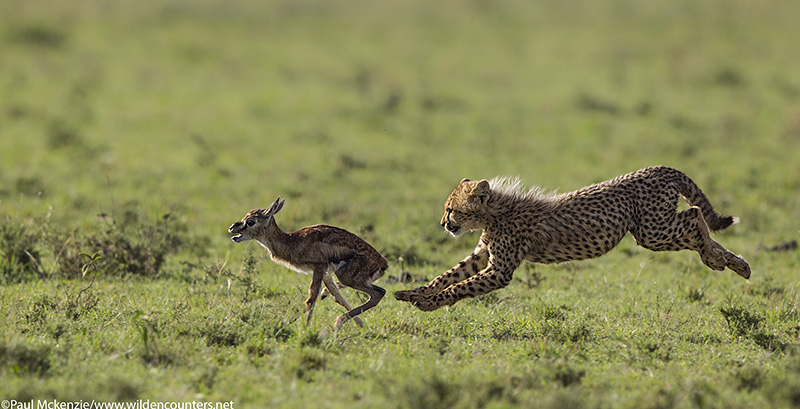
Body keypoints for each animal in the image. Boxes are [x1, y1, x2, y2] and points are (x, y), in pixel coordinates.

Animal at [394, 164, 752, 310]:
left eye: (451, 209)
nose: (443, 223)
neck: (495, 212)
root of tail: (657, 168)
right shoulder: (483, 254)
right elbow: (447, 275)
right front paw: (414, 293)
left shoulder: (499, 269)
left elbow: (459, 286)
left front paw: (429, 303)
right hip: (653, 230)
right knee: (695, 218)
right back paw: (731, 261)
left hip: (652, 231)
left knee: (695, 215)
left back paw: (715, 257)